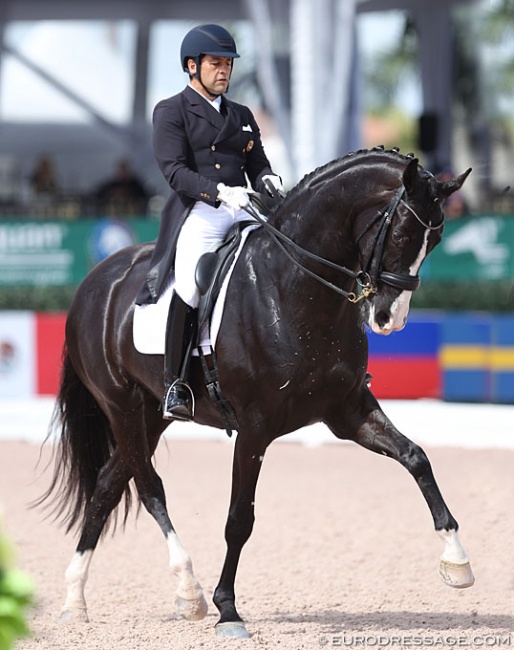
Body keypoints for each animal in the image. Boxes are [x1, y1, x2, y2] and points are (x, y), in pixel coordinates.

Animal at [43, 148, 472, 636]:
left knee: (107, 485)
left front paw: (457, 560)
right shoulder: (254, 429)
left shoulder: (348, 412)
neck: (294, 289)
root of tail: (95, 281)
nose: (388, 318)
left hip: (150, 414)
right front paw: (227, 610)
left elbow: (416, 457)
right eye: (400, 233)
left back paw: (75, 600)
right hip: (122, 406)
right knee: (149, 487)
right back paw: (188, 591)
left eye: (435, 241)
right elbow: (239, 519)